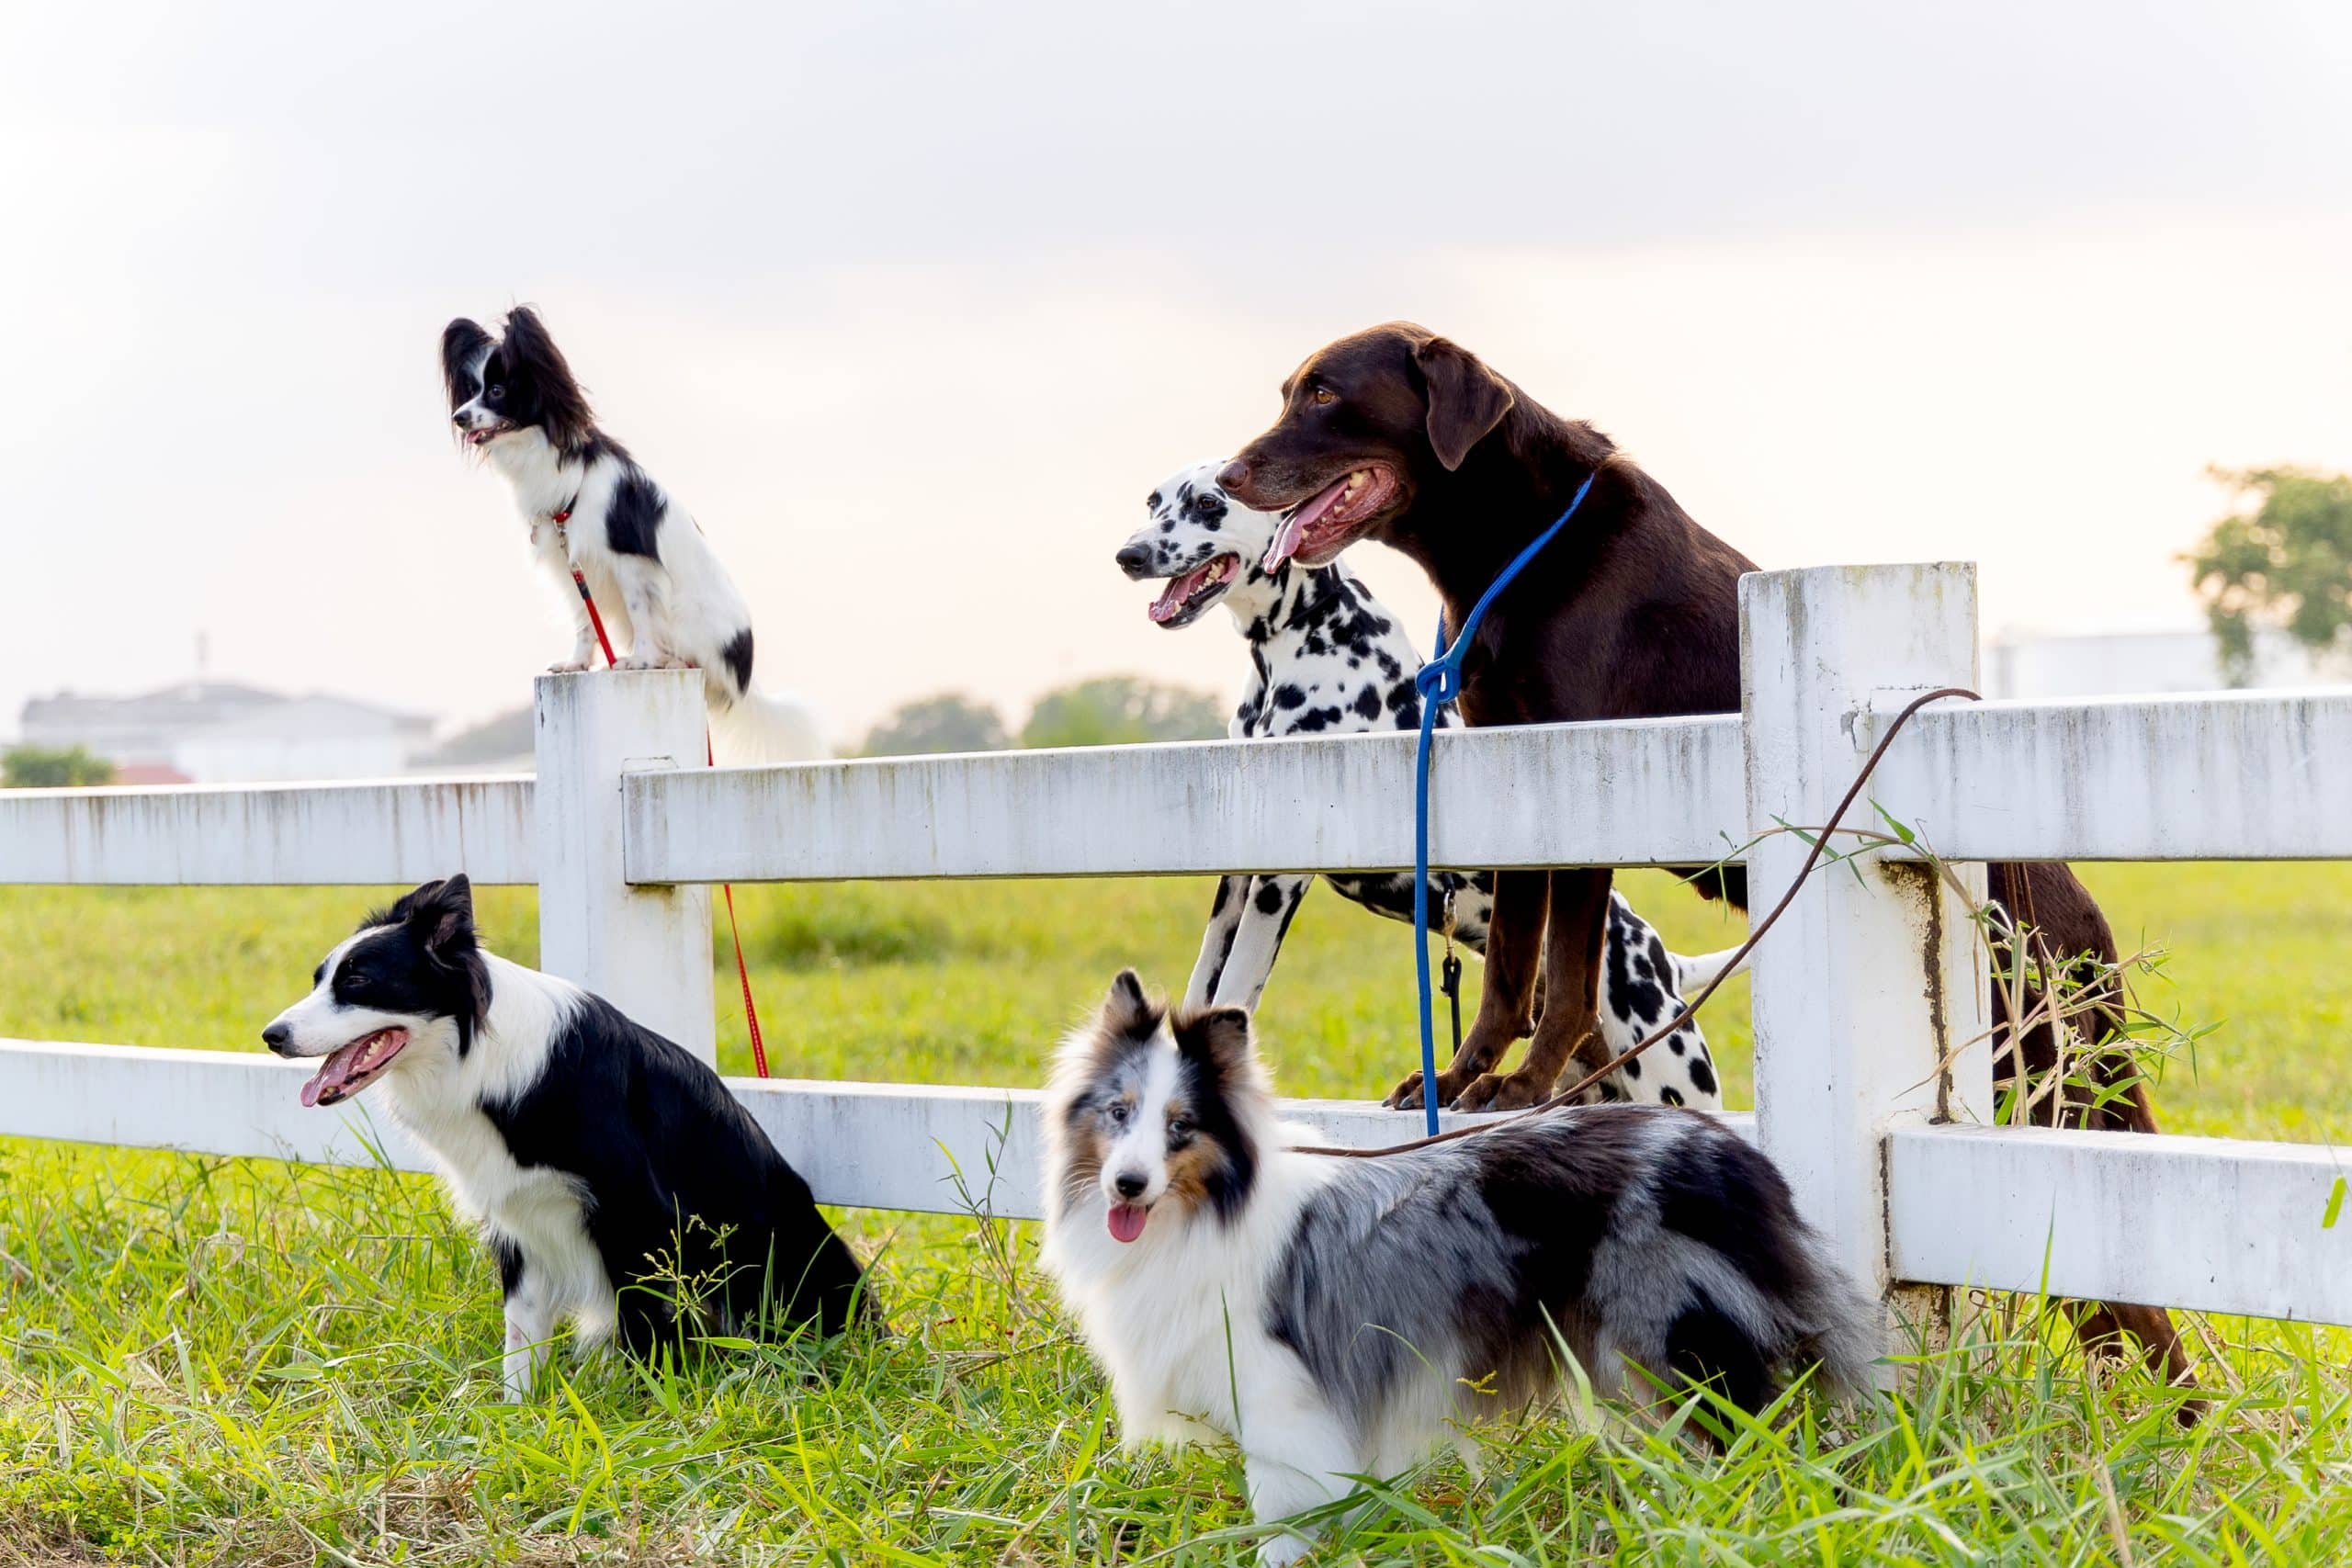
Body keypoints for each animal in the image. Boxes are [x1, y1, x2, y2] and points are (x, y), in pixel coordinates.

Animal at [265, 879, 875, 1401]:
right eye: (319, 979)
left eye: (357, 981)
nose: (272, 1036)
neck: (480, 1059)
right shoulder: (519, 1221)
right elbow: (521, 1340)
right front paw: (516, 1421)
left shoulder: (636, 1215)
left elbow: (644, 1330)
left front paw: (650, 1411)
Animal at [442, 303, 828, 761]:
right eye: (471, 390)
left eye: (498, 391)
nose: (459, 417)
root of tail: (744, 677)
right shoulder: (571, 562)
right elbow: (584, 622)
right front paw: (577, 664)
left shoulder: (629, 562)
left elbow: (642, 613)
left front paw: (640, 662)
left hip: (690, 614)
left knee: (693, 659)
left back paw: (671, 662)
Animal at [1039, 973, 1882, 1561]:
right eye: (1118, 1112)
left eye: (1180, 1127)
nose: (1127, 1185)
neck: (1207, 1209)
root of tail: (1736, 1156)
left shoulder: (1280, 1393)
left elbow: (1282, 1506)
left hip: (1679, 1338)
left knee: (1763, 1433)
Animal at [1110, 465, 1740, 1114]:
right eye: (1154, 501)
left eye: (1210, 503)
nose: (1129, 556)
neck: (1303, 634)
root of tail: (1661, 960)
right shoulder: (1236, 877)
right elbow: (1204, 983)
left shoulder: (1279, 878)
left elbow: (1238, 985)